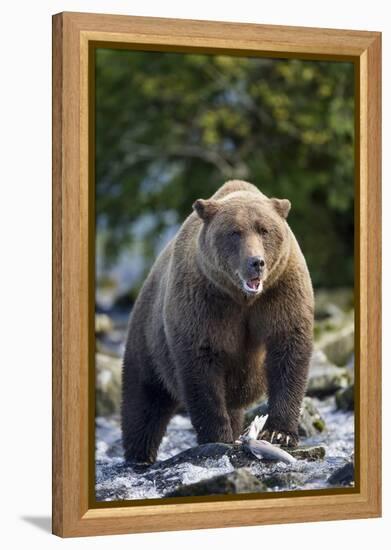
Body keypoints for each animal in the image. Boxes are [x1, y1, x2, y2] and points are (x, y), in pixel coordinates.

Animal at [121, 181, 314, 466]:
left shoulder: (281, 292)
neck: (242, 297)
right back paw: (139, 455)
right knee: (144, 402)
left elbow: (288, 350)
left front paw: (280, 433)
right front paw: (217, 436)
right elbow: (202, 366)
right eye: (234, 232)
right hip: (147, 341)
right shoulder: (204, 303)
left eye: (264, 229)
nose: (256, 262)